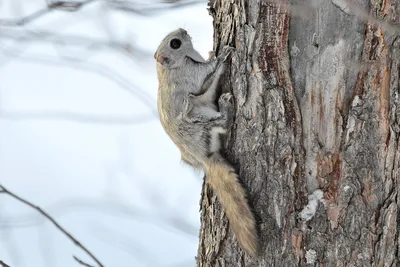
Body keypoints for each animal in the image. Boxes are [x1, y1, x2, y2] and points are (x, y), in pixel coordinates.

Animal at [153, 28, 260, 256]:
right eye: (175, 43)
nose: (183, 30)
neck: (171, 67)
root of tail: (204, 159)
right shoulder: (193, 77)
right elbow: (209, 76)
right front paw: (223, 54)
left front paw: (212, 53)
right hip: (200, 122)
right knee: (222, 122)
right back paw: (225, 106)